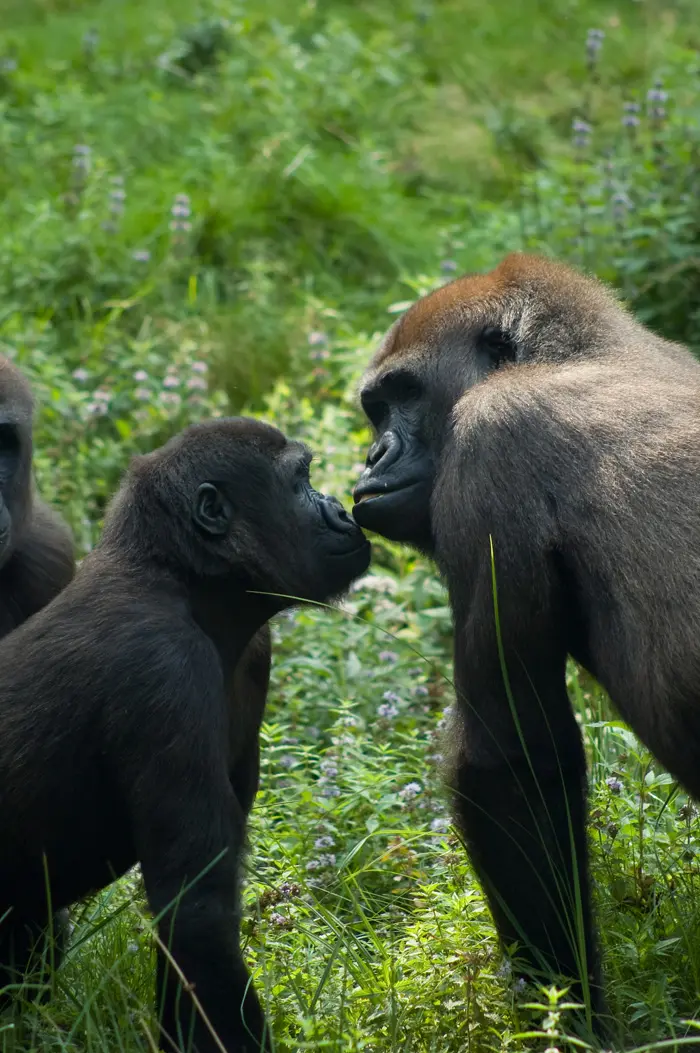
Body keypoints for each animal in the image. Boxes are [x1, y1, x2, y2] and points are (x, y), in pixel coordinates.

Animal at [351, 250, 698, 1031]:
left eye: (403, 394)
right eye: (376, 410)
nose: (372, 455)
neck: (593, 351)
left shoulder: (490, 443)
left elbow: (509, 764)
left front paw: (570, 1023)